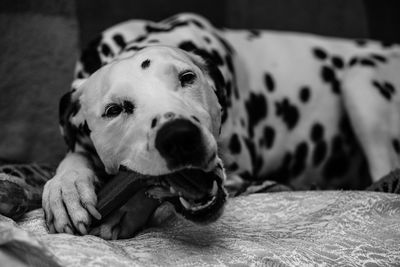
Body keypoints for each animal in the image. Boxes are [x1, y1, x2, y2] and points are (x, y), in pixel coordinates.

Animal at [42, 12, 398, 240]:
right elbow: (74, 156)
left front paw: (125, 209)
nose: (179, 137)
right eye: (114, 110)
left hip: (360, 76)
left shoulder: (239, 167)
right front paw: (65, 188)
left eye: (188, 78)